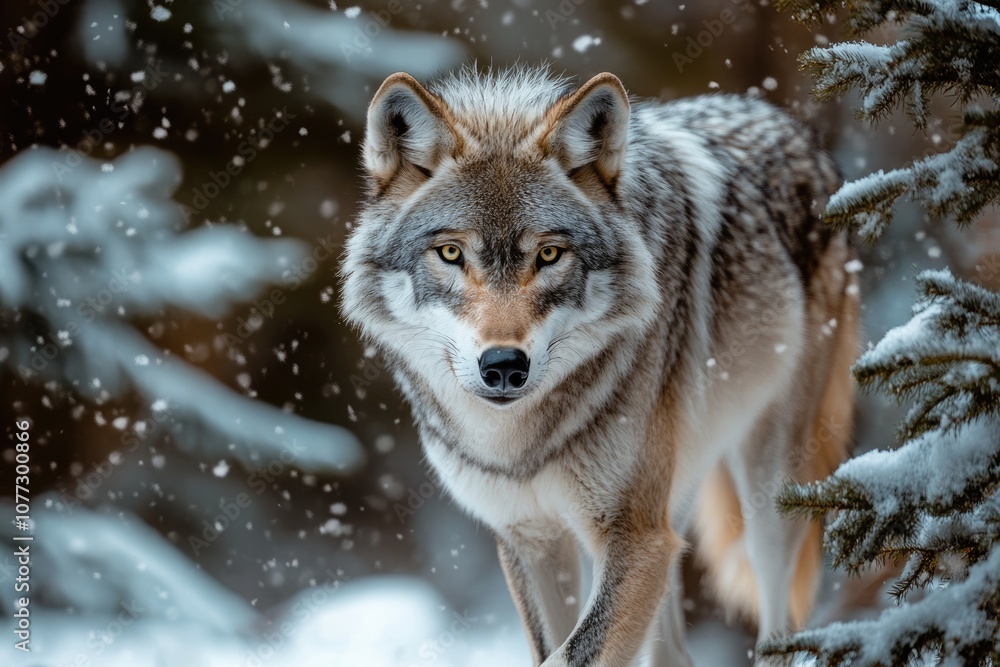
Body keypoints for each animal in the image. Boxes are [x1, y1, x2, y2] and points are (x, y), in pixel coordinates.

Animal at [340, 66, 859, 666]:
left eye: (548, 255)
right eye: (451, 253)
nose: (504, 366)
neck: (520, 445)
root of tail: (796, 128)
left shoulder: (635, 538)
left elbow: (572, 656)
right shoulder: (531, 537)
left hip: (769, 498)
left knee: (780, 627)